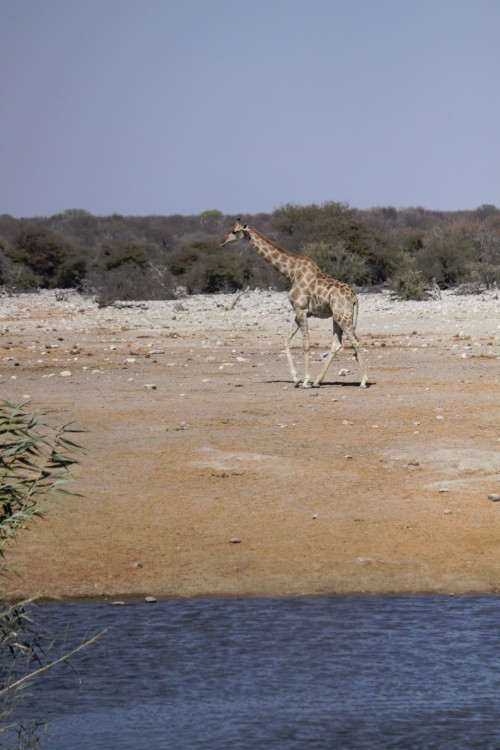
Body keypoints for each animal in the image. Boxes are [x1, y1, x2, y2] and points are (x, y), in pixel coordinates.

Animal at [219, 220, 368, 390]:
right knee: (336, 344)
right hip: (337, 317)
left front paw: (305, 381)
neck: (290, 272)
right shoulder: (299, 312)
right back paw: (317, 381)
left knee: (356, 341)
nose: (221, 242)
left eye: (235, 231)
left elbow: (306, 344)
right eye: (230, 228)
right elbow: (286, 339)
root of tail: (355, 298)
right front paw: (296, 379)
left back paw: (363, 381)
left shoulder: (301, 308)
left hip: (343, 316)